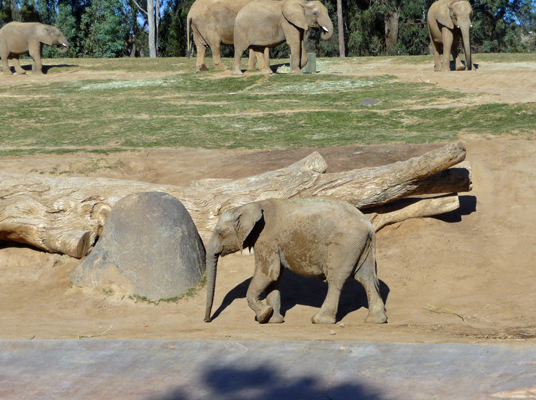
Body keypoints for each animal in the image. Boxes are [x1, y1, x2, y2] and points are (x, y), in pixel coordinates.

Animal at [203, 198, 388, 324]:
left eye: (220, 233)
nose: (207, 320)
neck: (249, 205)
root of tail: (369, 225)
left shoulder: (266, 239)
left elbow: (268, 273)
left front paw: (263, 316)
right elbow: (275, 277)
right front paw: (274, 320)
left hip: (344, 245)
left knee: (336, 279)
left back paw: (319, 320)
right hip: (362, 246)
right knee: (366, 278)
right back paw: (376, 320)